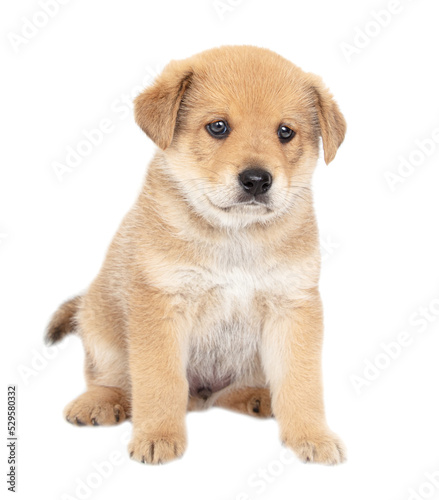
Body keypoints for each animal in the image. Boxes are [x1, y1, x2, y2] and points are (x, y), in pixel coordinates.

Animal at [47, 45, 348, 466]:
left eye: (285, 132)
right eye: (218, 127)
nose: (257, 180)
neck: (235, 238)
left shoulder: (293, 306)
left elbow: (300, 383)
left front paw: (311, 436)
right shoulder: (161, 305)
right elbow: (160, 381)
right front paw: (157, 435)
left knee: (230, 392)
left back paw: (257, 398)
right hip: (101, 329)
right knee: (114, 379)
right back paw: (100, 403)